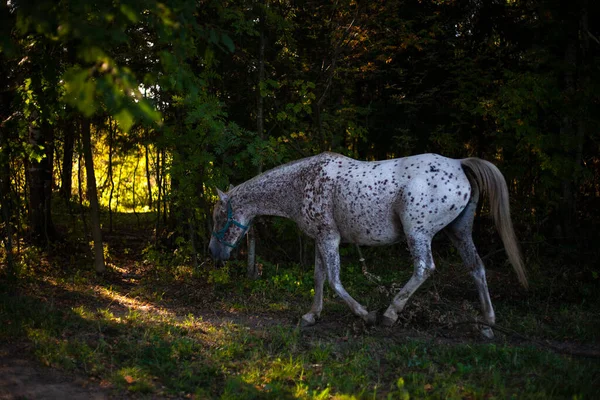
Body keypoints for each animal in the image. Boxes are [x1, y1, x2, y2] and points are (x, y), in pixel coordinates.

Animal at [209, 153, 528, 338]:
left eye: (218, 217)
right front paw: (312, 315)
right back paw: (487, 325)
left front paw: (366, 314)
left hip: (418, 233)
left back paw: (389, 314)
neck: (301, 183)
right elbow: (319, 277)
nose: (213, 253)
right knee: (477, 268)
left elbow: (335, 281)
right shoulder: (320, 239)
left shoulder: (329, 238)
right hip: (459, 232)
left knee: (425, 268)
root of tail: (459, 164)